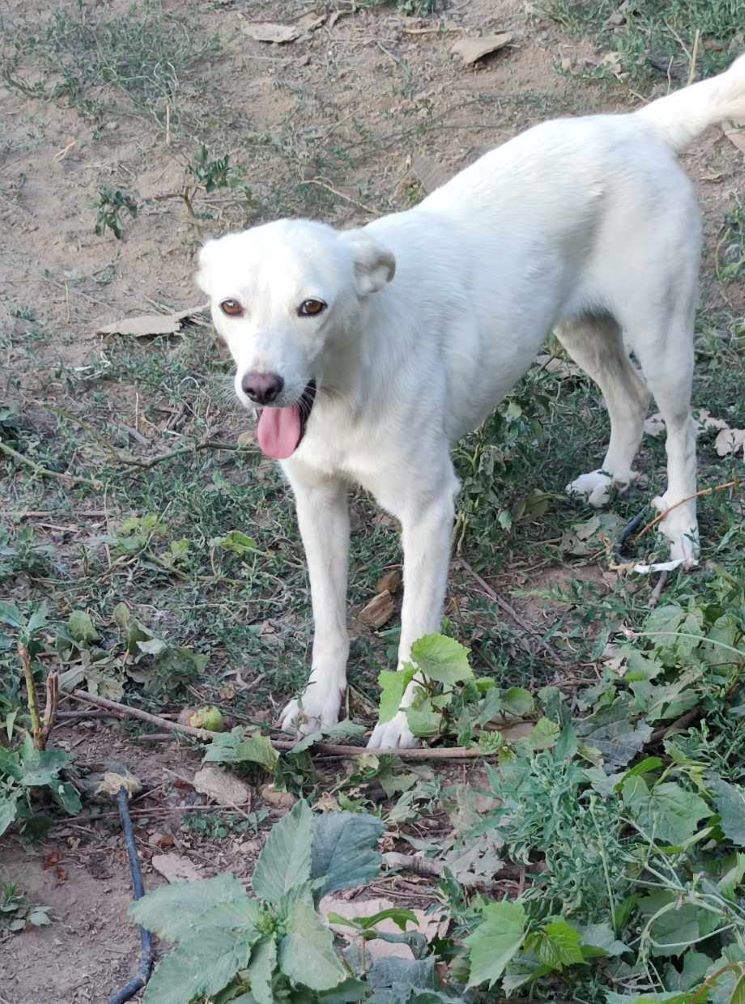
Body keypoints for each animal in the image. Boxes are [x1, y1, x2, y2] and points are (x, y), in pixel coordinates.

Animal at [198, 54, 745, 746]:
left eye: (312, 306)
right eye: (231, 306)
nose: (261, 387)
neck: (346, 383)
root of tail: (636, 126)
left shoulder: (429, 511)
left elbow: (415, 636)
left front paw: (402, 724)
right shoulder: (317, 501)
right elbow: (328, 618)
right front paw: (322, 700)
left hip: (661, 331)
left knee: (680, 428)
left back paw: (680, 531)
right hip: (578, 327)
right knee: (627, 396)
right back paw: (612, 480)